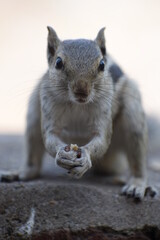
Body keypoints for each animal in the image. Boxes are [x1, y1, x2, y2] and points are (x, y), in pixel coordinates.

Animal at [2, 26, 158, 200]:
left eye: (102, 64)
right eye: (58, 63)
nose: (81, 90)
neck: (77, 104)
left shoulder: (104, 110)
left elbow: (102, 140)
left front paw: (86, 157)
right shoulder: (48, 106)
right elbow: (49, 137)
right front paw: (61, 155)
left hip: (133, 116)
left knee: (137, 162)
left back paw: (137, 185)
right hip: (34, 110)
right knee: (33, 160)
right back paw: (20, 173)